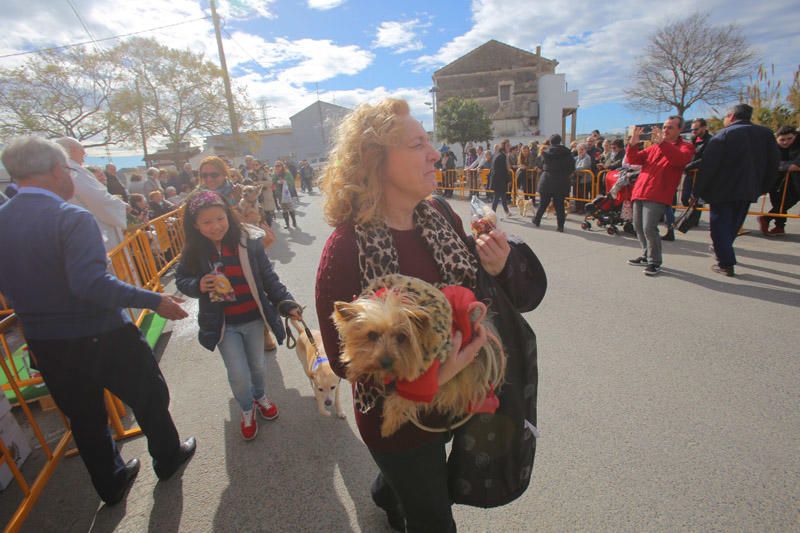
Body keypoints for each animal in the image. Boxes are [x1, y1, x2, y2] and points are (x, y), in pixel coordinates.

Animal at [332, 274, 506, 436]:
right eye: (372, 335)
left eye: (401, 337)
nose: (386, 362)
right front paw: (356, 369)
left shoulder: (424, 379)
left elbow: (400, 399)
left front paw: (388, 427)